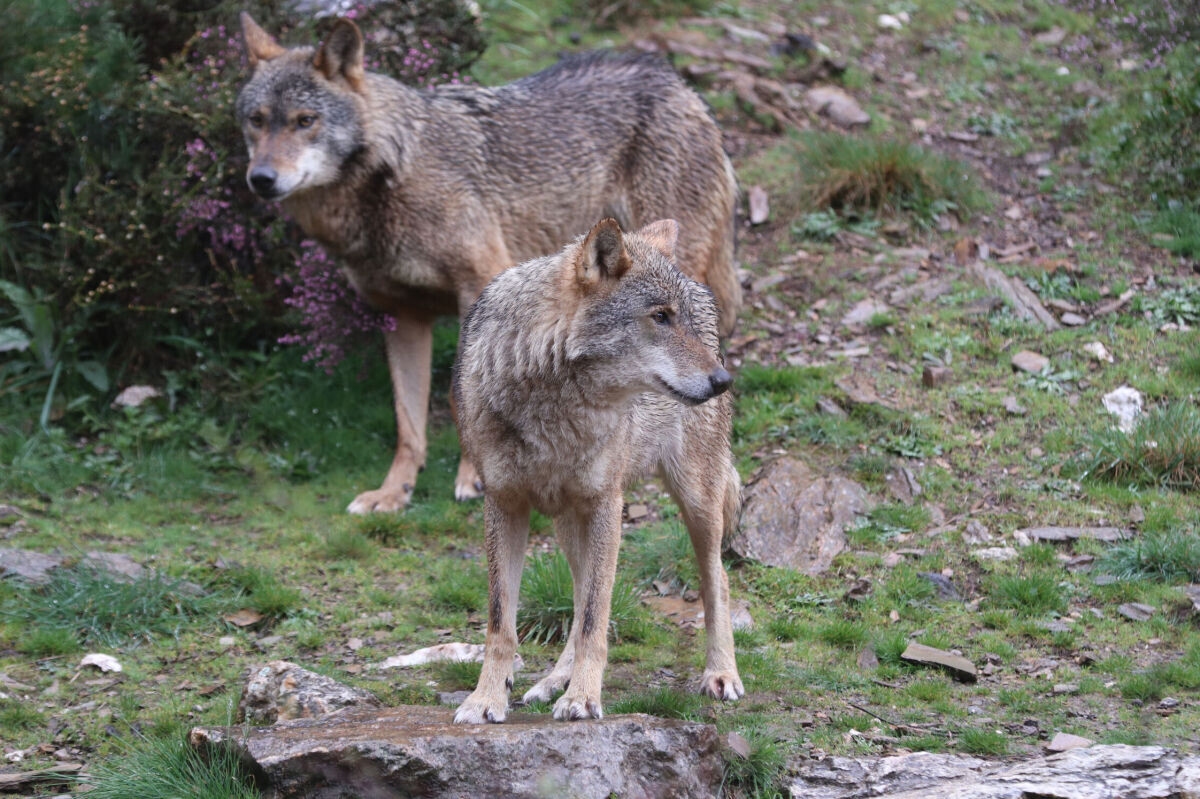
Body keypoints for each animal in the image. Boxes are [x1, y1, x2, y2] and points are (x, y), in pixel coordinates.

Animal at [236, 14, 742, 513]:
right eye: (256, 121)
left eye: (305, 121)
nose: (260, 179)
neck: (391, 176)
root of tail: (678, 83)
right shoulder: (402, 316)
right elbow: (407, 420)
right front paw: (394, 491)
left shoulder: (476, 284)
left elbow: (458, 394)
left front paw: (473, 476)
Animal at [451, 218, 744, 723]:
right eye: (661, 317)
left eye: (679, 317)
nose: (724, 381)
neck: (553, 405)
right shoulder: (504, 504)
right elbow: (501, 622)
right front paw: (486, 699)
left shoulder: (608, 503)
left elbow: (594, 619)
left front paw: (584, 698)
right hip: (570, 522)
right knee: (578, 590)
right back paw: (552, 682)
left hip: (696, 502)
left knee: (716, 580)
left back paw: (721, 673)